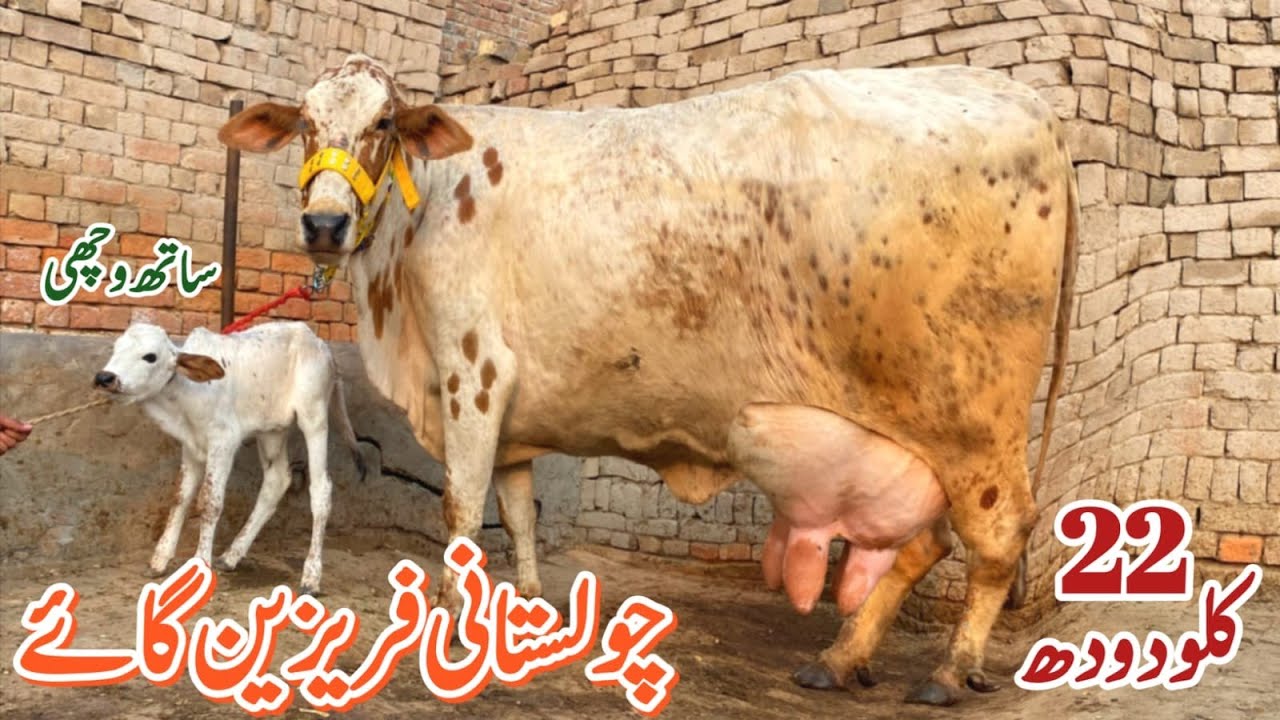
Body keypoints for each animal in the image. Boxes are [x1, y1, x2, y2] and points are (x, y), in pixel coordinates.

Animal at [94, 321, 365, 595]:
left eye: (150, 357)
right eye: (116, 348)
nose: (105, 378)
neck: (186, 396)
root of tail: (319, 343)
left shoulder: (223, 442)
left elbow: (209, 502)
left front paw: (201, 563)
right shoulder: (190, 446)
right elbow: (181, 497)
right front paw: (160, 559)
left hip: (314, 416)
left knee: (321, 490)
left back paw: (311, 576)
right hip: (272, 430)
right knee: (277, 480)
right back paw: (231, 555)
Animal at [218, 54, 1077, 706]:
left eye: (384, 125)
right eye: (304, 123)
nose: (324, 225)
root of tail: (1027, 100)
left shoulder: (474, 374)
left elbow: (461, 511)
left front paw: (454, 622)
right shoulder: (515, 414)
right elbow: (518, 513)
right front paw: (528, 610)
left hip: (973, 422)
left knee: (997, 536)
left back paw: (948, 671)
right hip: (909, 442)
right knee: (925, 541)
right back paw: (840, 659)